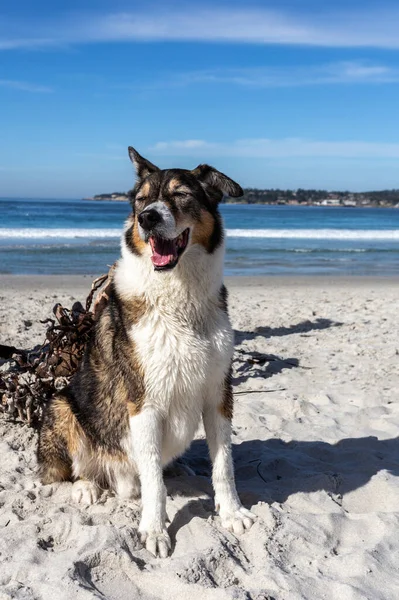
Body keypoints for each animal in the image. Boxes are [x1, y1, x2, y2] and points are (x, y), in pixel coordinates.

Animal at [37, 146, 256, 556]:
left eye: (181, 194)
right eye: (141, 200)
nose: (147, 218)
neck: (178, 294)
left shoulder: (219, 394)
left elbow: (224, 466)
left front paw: (232, 512)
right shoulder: (144, 403)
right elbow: (153, 479)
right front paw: (154, 530)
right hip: (60, 405)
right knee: (65, 472)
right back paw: (86, 486)